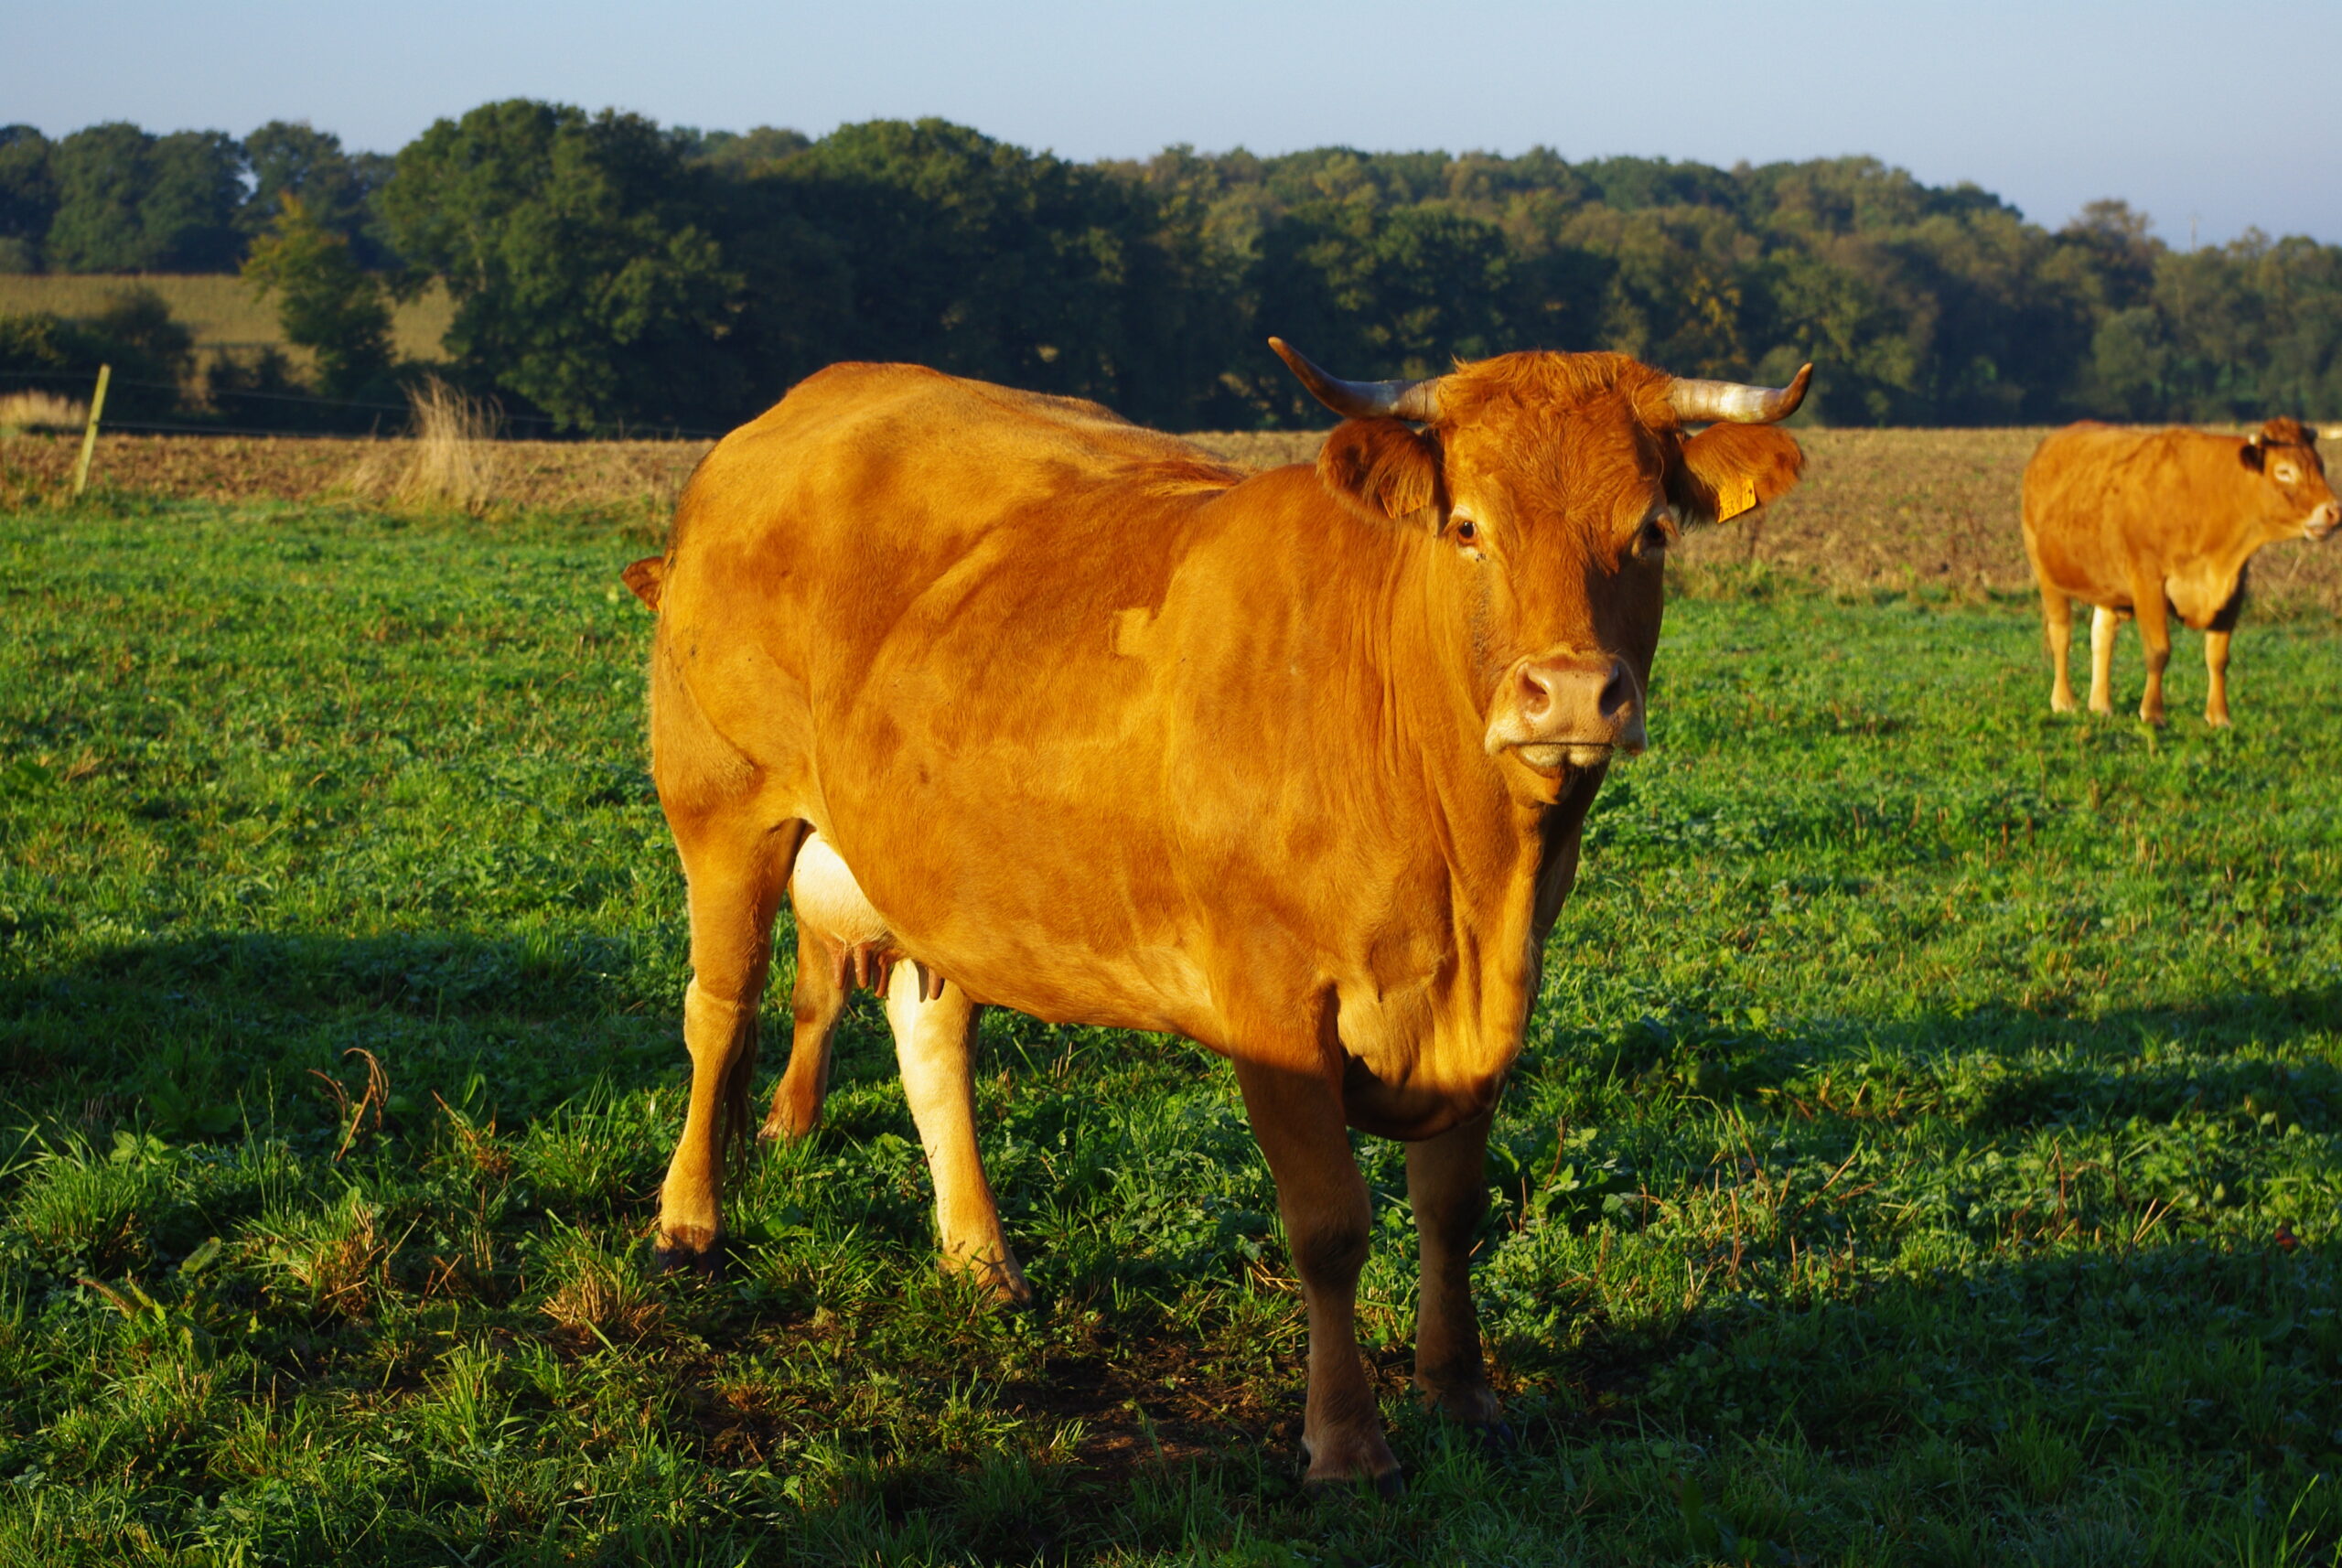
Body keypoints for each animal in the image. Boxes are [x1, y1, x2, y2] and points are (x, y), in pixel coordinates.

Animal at [625, 341, 1810, 1489]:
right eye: (1468, 525)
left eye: (1650, 530)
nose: (1568, 695)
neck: (1472, 868)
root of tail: (803, 404)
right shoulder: (1272, 996)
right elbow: (1329, 1224)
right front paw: (1344, 1443)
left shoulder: (1496, 993)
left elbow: (1453, 1209)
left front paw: (1463, 1397)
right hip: (721, 804)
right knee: (719, 1008)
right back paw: (687, 1223)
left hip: (937, 874)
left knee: (931, 1040)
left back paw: (980, 1258)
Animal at [2022, 418, 2338, 725]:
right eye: (2284, 471)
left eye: (2321, 466)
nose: (2334, 511)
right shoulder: (2148, 581)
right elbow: (2158, 650)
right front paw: (2152, 713)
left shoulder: (2234, 587)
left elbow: (2217, 656)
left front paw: (2219, 716)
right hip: (2047, 576)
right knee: (2061, 635)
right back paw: (2064, 701)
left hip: (2106, 586)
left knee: (2101, 637)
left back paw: (2101, 704)